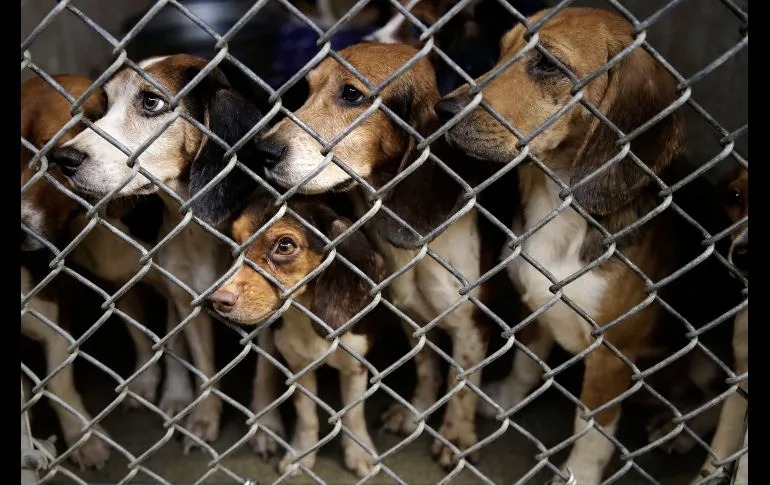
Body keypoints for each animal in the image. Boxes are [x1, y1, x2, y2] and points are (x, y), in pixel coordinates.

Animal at [49, 55, 268, 450]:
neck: (203, 230)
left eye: (151, 102)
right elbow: (205, 370)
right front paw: (204, 419)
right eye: (106, 104)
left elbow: (265, 373)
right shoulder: (188, 303)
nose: (63, 158)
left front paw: (266, 426)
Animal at [208, 193, 384, 476]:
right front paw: (302, 454)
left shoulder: (355, 365)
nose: (218, 300)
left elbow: (354, 414)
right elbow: (307, 416)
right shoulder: (298, 368)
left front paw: (359, 452)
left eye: (285, 245)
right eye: (234, 240)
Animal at [255, 43, 510, 466]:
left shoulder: (472, 326)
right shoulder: (411, 318)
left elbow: (460, 387)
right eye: (307, 89)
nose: (264, 151)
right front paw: (415, 415)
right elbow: (426, 369)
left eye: (351, 94)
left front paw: (456, 437)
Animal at [432, 5, 696, 482]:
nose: (443, 109)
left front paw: (580, 472)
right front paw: (504, 400)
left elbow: (593, 428)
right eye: (502, 50)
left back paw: (677, 429)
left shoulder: (612, 355)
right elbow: (525, 364)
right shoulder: (536, 303)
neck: (557, 202)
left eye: (548, 65)